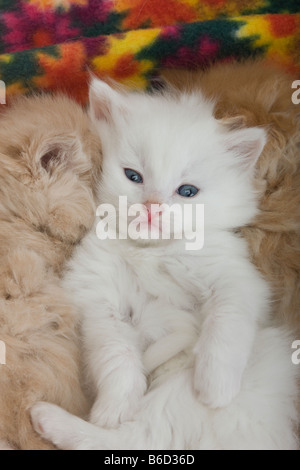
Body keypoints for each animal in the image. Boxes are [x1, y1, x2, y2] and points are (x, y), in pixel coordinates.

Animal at [30, 79, 298, 450]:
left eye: (187, 191)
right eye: (133, 176)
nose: (152, 208)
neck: (151, 251)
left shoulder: (235, 277)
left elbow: (227, 324)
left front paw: (215, 386)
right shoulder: (97, 296)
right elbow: (118, 355)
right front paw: (114, 408)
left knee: (141, 437)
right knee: (129, 438)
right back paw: (51, 417)